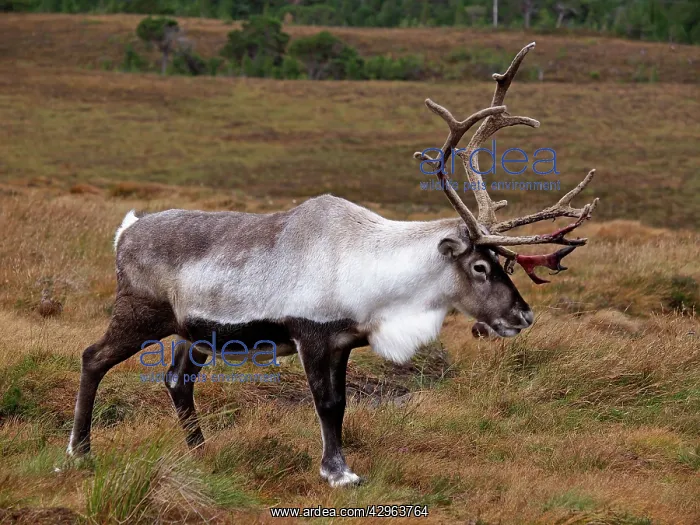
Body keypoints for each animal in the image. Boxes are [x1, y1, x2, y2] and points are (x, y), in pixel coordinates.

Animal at [67, 42, 598, 488]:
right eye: (481, 268)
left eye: (503, 262)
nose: (523, 315)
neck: (371, 269)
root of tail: (126, 231)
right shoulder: (312, 335)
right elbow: (324, 404)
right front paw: (338, 473)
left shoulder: (343, 341)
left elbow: (340, 405)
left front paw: (337, 466)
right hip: (139, 313)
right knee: (93, 357)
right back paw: (79, 451)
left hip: (192, 332)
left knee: (178, 380)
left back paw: (200, 452)